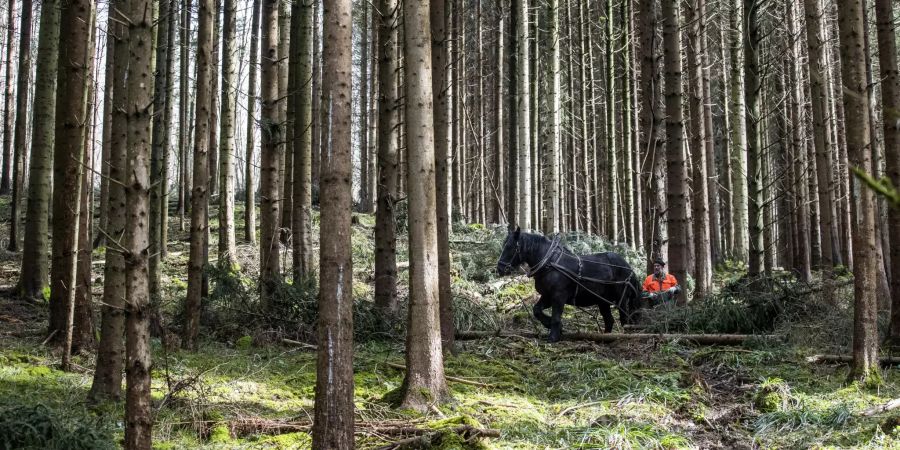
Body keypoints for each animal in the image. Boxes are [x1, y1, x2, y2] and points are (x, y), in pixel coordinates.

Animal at [496, 227, 642, 342]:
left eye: (510, 247)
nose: (500, 269)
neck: (549, 263)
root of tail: (629, 268)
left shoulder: (559, 296)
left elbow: (556, 317)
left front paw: (553, 336)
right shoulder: (547, 296)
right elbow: (537, 310)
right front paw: (553, 327)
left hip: (621, 298)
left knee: (624, 318)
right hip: (602, 301)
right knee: (609, 320)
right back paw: (605, 337)